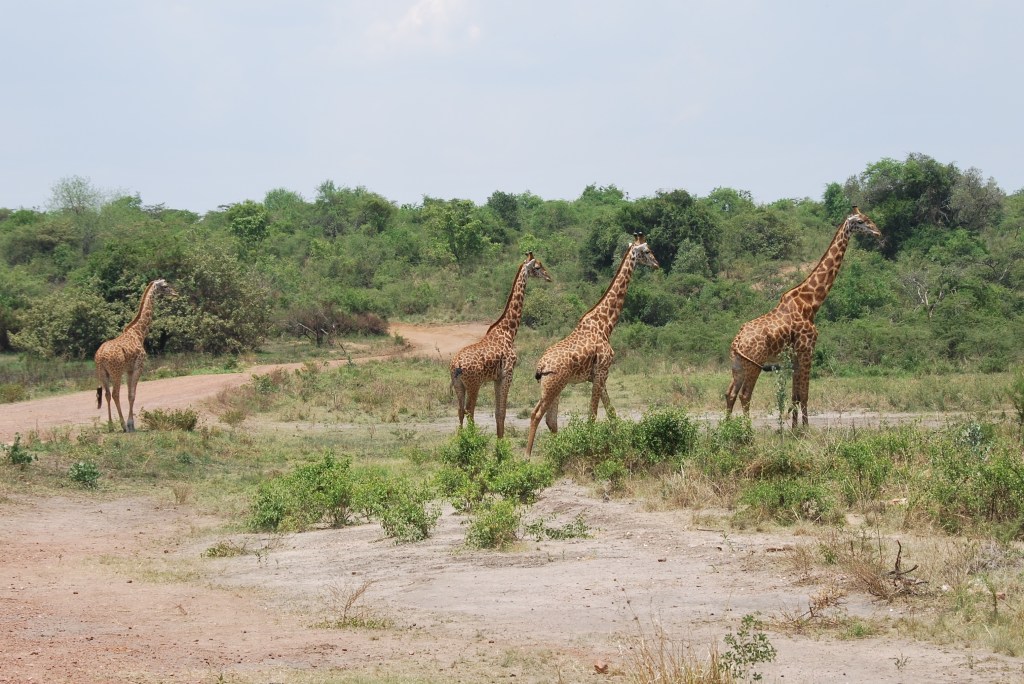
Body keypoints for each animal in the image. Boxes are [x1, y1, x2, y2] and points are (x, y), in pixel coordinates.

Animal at [94, 278, 177, 432]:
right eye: (165, 286)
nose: (175, 293)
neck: (139, 333)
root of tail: (100, 355)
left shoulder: (129, 370)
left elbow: (129, 394)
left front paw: (130, 424)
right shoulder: (138, 367)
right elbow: (132, 395)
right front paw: (130, 424)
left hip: (102, 373)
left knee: (107, 394)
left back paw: (110, 426)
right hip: (116, 372)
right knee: (115, 394)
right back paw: (122, 426)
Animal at [450, 253, 552, 437]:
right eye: (537, 267)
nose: (549, 277)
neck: (509, 331)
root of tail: (457, 364)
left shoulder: (496, 378)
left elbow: (498, 412)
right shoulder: (507, 374)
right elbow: (502, 412)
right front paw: (501, 442)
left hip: (458, 385)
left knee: (460, 411)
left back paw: (461, 440)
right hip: (474, 383)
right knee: (469, 410)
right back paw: (472, 439)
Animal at [525, 234, 660, 456]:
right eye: (647, 251)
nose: (657, 264)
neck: (605, 324)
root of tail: (541, 366)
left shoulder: (600, 376)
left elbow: (611, 412)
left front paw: (618, 443)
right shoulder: (601, 372)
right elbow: (593, 414)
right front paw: (589, 446)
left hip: (553, 386)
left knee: (550, 419)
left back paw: (558, 451)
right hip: (553, 385)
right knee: (536, 414)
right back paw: (527, 457)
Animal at [725, 206, 881, 427]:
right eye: (861, 221)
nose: (878, 232)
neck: (810, 304)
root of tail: (737, 341)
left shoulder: (795, 356)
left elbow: (795, 395)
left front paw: (794, 428)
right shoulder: (807, 349)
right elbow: (805, 394)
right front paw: (806, 429)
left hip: (737, 364)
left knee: (730, 394)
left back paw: (726, 428)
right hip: (754, 363)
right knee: (745, 395)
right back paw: (746, 431)